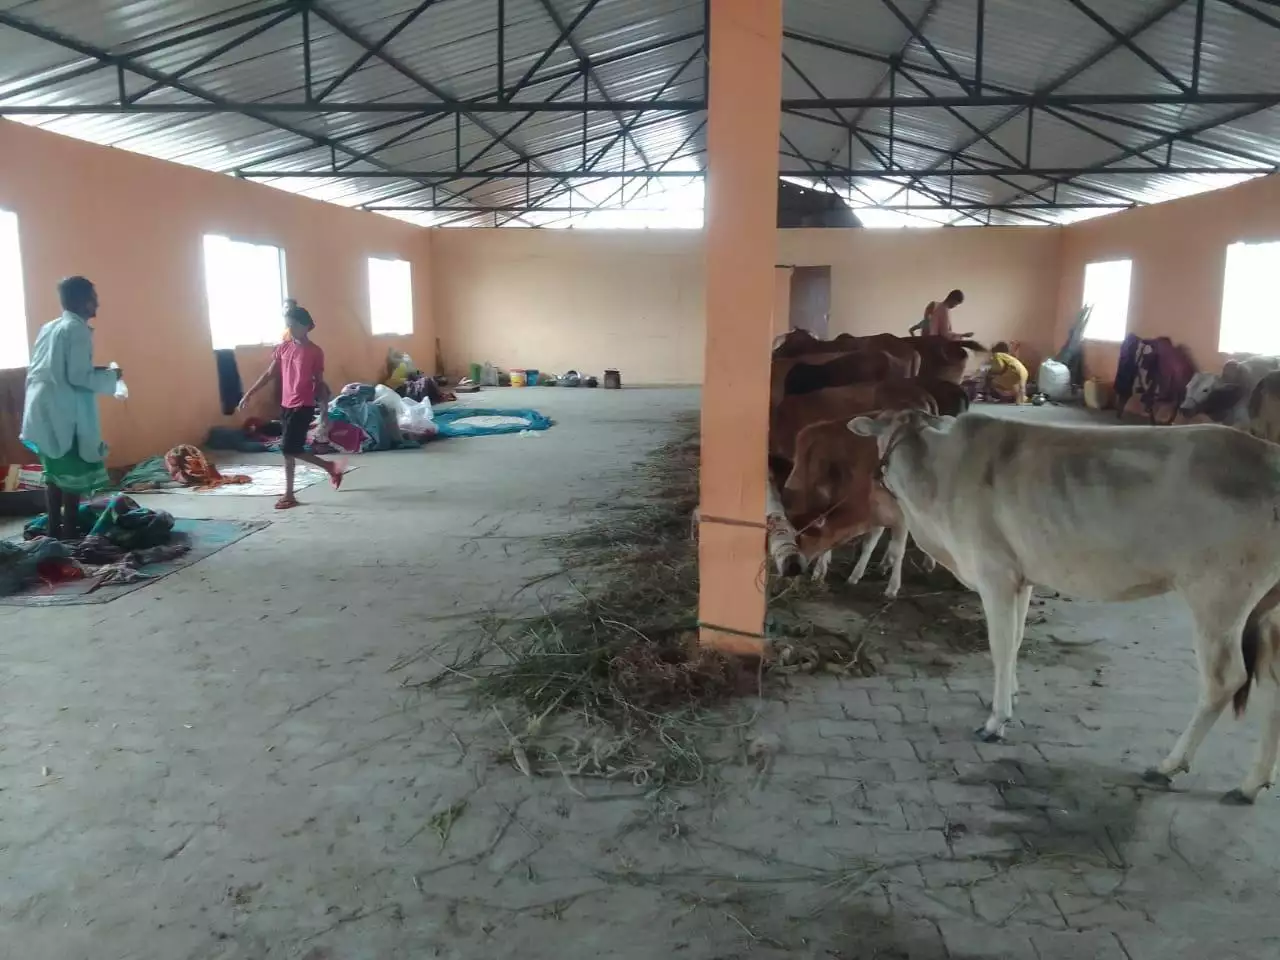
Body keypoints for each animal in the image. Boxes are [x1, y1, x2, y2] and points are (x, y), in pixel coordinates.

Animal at [849, 412, 1280, 803]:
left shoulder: (995, 574)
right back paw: (1251, 784)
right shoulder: (1021, 577)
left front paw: (997, 720)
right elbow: (1016, 640)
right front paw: (1011, 695)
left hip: (1219, 596)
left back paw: (1169, 766)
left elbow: (1000, 647)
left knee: (1224, 679)